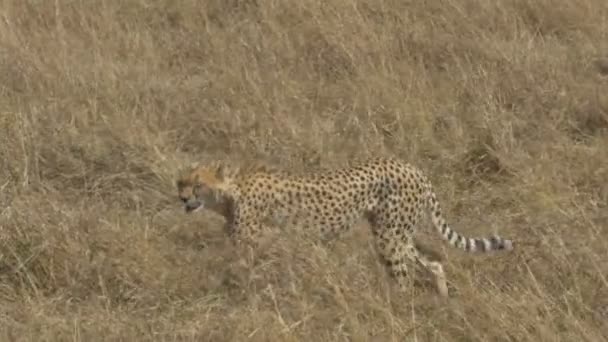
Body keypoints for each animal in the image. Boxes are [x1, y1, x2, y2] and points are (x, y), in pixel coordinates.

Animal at [176, 156, 512, 296]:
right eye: (181, 182)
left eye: (198, 184)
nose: (182, 198)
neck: (231, 192)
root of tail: (413, 168)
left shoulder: (249, 244)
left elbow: (237, 273)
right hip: (398, 234)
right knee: (434, 264)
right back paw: (441, 300)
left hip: (390, 237)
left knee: (404, 277)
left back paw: (400, 307)